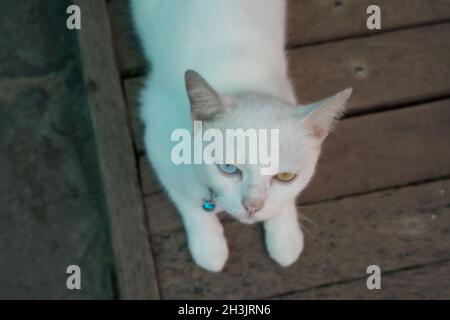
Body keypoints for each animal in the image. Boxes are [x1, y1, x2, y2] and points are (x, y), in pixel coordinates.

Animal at [131, 0, 352, 272]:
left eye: (285, 176)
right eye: (228, 168)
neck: (243, 79)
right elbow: (188, 201)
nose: (253, 207)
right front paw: (209, 247)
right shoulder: (157, 139)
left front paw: (285, 239)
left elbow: (286, 200)